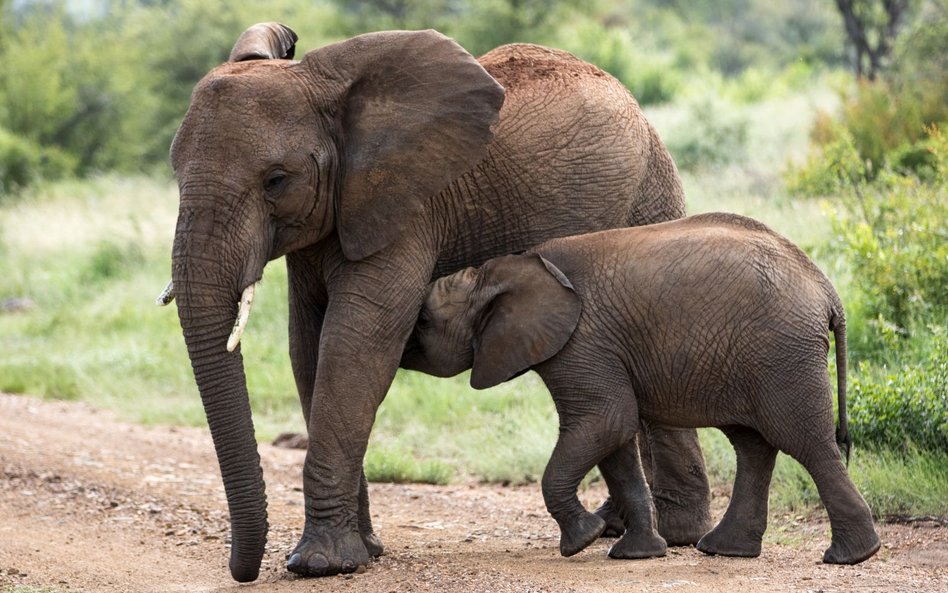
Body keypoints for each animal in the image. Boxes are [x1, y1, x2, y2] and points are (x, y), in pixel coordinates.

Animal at [163, 22, 712, 580]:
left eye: (276, 180)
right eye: (174, 172)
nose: (244, 570)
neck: (321, 85)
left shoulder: (407, 210)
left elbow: (353, 348)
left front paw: (320, 564)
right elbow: (308, 350)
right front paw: (364, 551)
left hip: (649, 195)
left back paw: (675, 535)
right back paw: (620, 528)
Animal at [400, 212, 880, 564]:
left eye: (422, 321)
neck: (502, 269)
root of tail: (827, 291)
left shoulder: (581, 342)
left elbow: (607, 420)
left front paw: (582, 541)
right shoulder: (592, 349)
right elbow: (615, 437)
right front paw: (637, 554)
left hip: (782, 352)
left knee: (804, 440)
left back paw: (850, 557)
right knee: (753, 444)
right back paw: (726, 550)